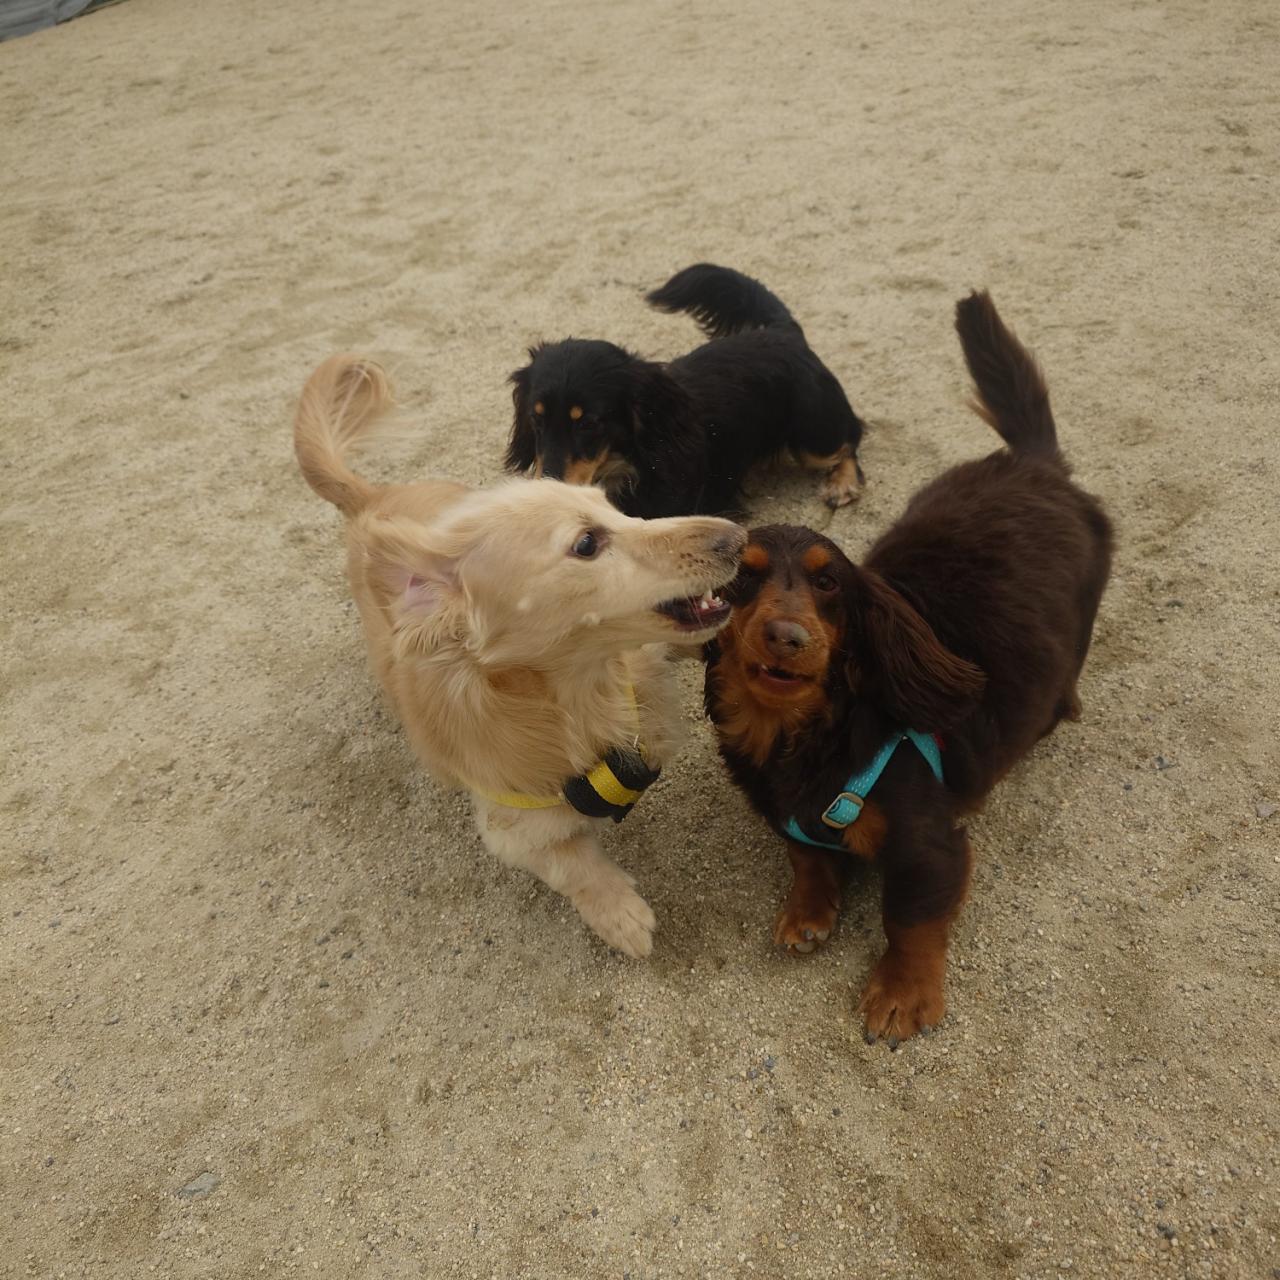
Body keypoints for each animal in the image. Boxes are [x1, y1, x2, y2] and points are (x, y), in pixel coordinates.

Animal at [294, 355, 745, 957]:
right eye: (586, 544)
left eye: (617, 510)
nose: (738, 538)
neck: (585, 694)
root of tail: (372, 500)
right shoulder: (513, 825)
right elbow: (573, 867)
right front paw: (621, 916)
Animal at [505, 263, 867, 518]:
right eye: (536, 420)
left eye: (589, 423)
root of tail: (783, 333)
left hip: (813, 438)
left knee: (851, 438)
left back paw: (842, 483)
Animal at [703, 292, 1112, 1044]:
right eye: (742, 579)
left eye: (828, 583)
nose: (785, 636)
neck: (808, 734)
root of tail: (1035, 465)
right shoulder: (793, 820)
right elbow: (806, 854)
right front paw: (808, 911)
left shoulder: (929, 845)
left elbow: (911, 917)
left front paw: (902, 993)